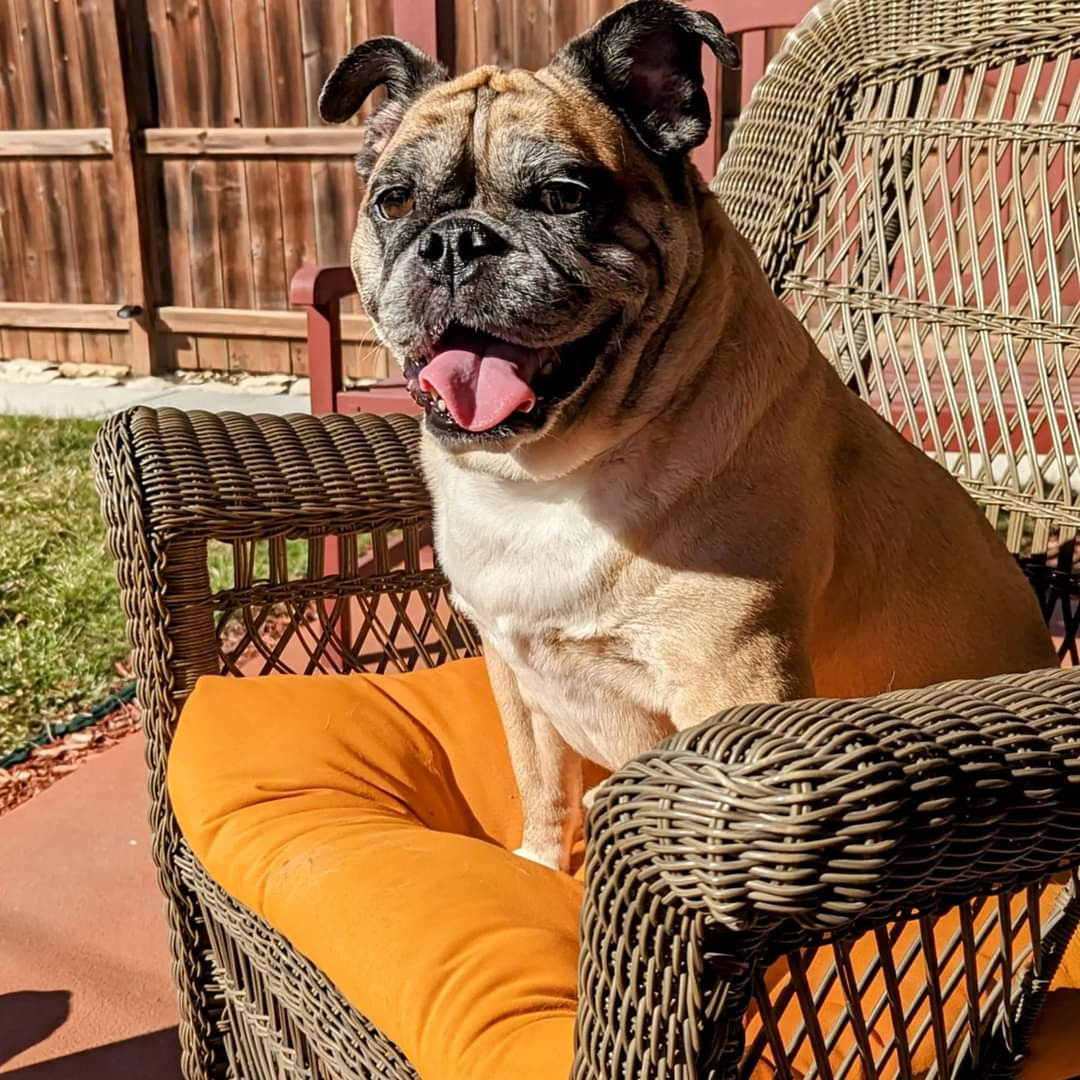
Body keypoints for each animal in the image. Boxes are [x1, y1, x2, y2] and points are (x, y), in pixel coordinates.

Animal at [319, 0, 1057, 872]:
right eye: (394, 202)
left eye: (564, 195)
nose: (454, 241)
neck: (549, 476)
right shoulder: (513, 675)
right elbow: (541, 785)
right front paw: (540, 862)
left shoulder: (733, 681)